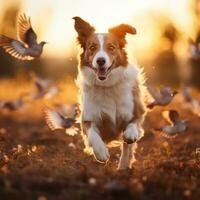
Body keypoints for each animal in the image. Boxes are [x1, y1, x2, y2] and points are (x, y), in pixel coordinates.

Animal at [72, 17, 146, 170]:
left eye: (111, 47)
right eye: (92, 48)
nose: (100, 60)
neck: (107, 86)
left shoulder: (136, 110)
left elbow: (134, 124)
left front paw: (130, 134)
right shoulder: (88, 118)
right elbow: (92, 134)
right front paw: (101, 153)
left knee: (127, 148)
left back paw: (123, 167)